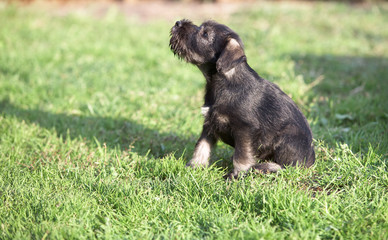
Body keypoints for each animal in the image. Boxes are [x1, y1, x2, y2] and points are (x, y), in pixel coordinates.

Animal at [170, 19, 316, 178]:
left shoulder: (245, 129)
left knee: (288, 167)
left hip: (287, 138)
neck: (226, 81)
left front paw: (237, 175)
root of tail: (311, 159)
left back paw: (263, 167)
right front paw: (194, 167)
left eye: (205, 34)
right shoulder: (209, 123)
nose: (178, 23)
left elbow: (241, 155)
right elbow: (201, 146)